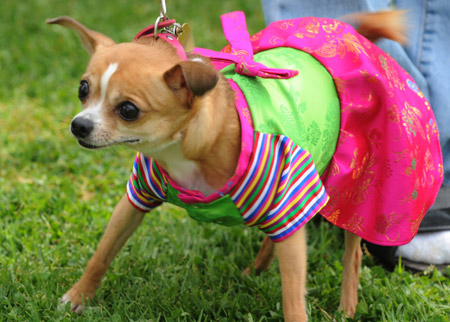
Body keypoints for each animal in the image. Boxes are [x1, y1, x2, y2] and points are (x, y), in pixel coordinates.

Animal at [47, 8, 442, 320]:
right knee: (278, 236)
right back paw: (256, 269)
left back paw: (346, 306)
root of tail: (348, 33)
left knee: (351, 255)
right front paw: (77, 297)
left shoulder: (291, 202)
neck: (188, 150)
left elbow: (293, 297)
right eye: (83, 89)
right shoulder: (137, 199)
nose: (79, 125)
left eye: (128, 110)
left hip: (351, 194)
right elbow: (103, 252)